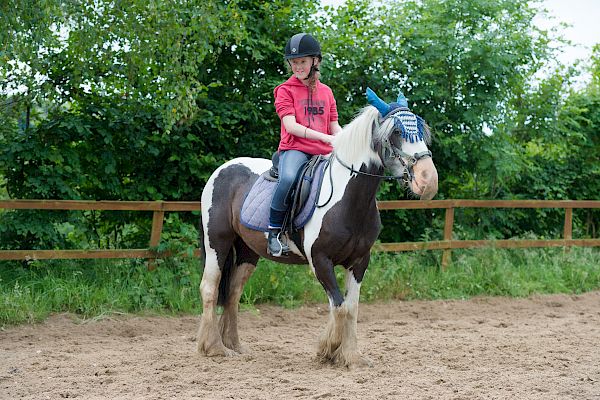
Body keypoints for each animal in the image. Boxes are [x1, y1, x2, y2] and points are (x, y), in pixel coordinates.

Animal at [199, 89, 438, 368]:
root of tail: (223, 169)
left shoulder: (359, 261)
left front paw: (352, 356)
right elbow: (340, 306)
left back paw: (235, 345)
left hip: (247, 251)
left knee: (233, 293)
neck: (349, 200)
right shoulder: (321, 261)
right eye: (396, 132)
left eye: (421, 129)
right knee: (210, 288)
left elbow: (351, 308)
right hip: (217, 243)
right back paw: (214, 348)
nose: (428, 180)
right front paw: (329, 349)